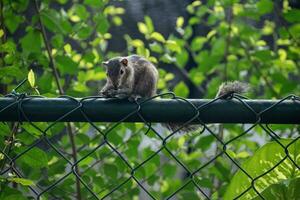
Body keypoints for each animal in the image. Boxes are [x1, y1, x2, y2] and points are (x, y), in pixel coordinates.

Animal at [99, 54, 247, 133]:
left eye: (121, 72)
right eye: (107, 74)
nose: (115, 84)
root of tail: (153, 92)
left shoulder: (131, 79)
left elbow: (126, 90)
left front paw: (117, 92)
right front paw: (105, 91)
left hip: (147, 82)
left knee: (141, 94)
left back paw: (135, 96)